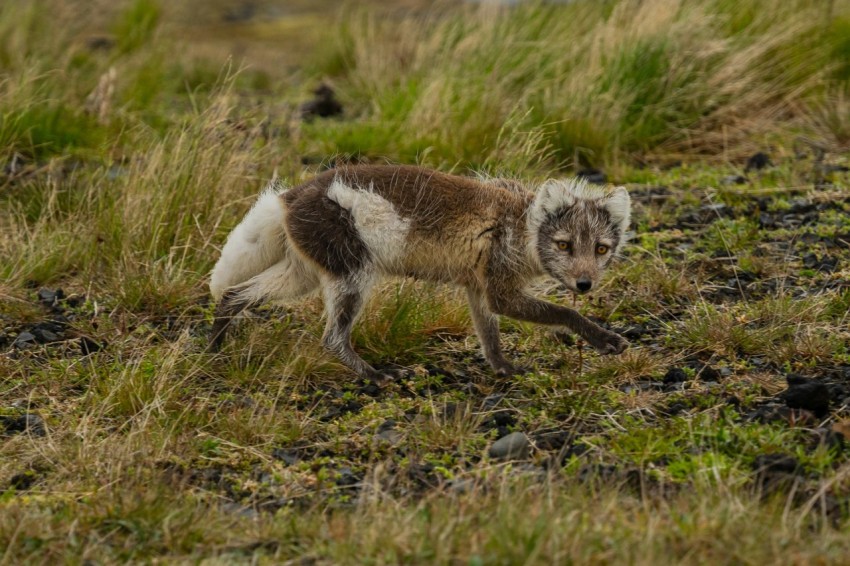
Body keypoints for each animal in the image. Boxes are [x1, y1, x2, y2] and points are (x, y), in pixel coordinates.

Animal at [208, 166, 628, 380]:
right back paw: (372, 374)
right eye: (564, 245)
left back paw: (214, 347)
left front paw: (503, 367)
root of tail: (289, 196)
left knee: (234, 293)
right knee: (332, 338)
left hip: (303, 275)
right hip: (351, 276)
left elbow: (488, 335)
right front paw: (604, 339)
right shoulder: (501, 289)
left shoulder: (478, 286)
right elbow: (564, 312)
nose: (584, 284)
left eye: (601, 249)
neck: (522, 225)